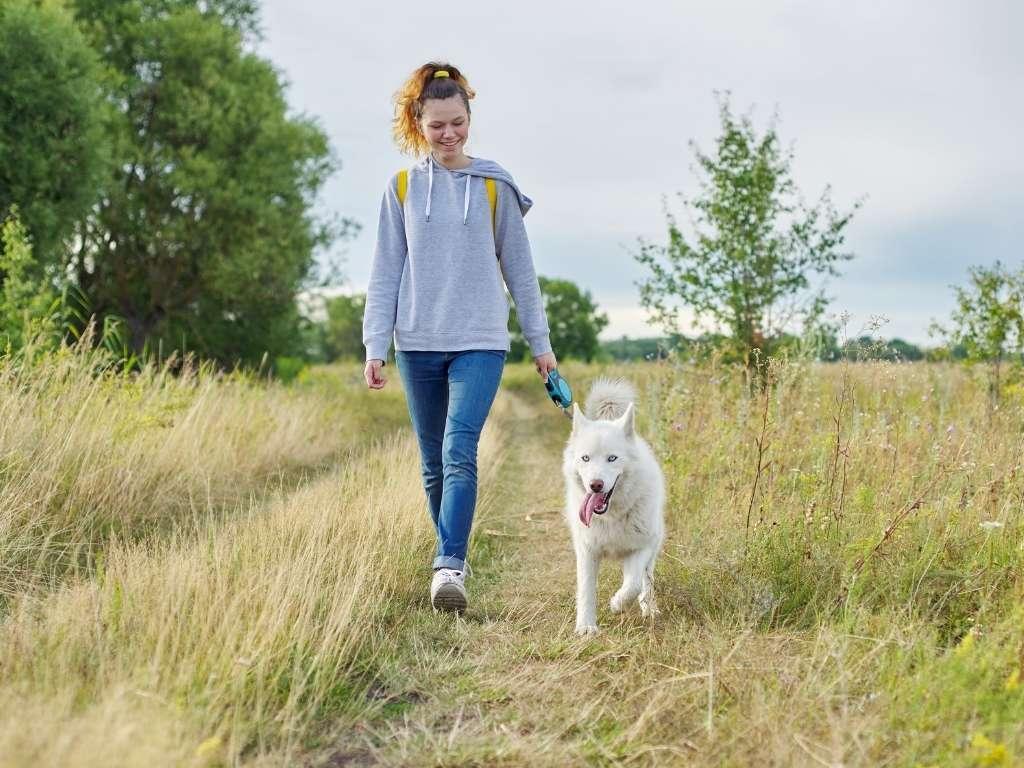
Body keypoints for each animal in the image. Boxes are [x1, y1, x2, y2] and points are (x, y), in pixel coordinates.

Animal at [561, 376, 663, 634]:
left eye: (612, 458)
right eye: (585, 458)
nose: (596, 485)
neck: (611, 516)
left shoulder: (641, 547)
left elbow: (634, 584)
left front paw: (618, 604)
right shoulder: (587, 551)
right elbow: (586, 590)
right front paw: (586, 627)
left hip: (653, 545)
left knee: (646, 580)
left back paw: (649, 608)